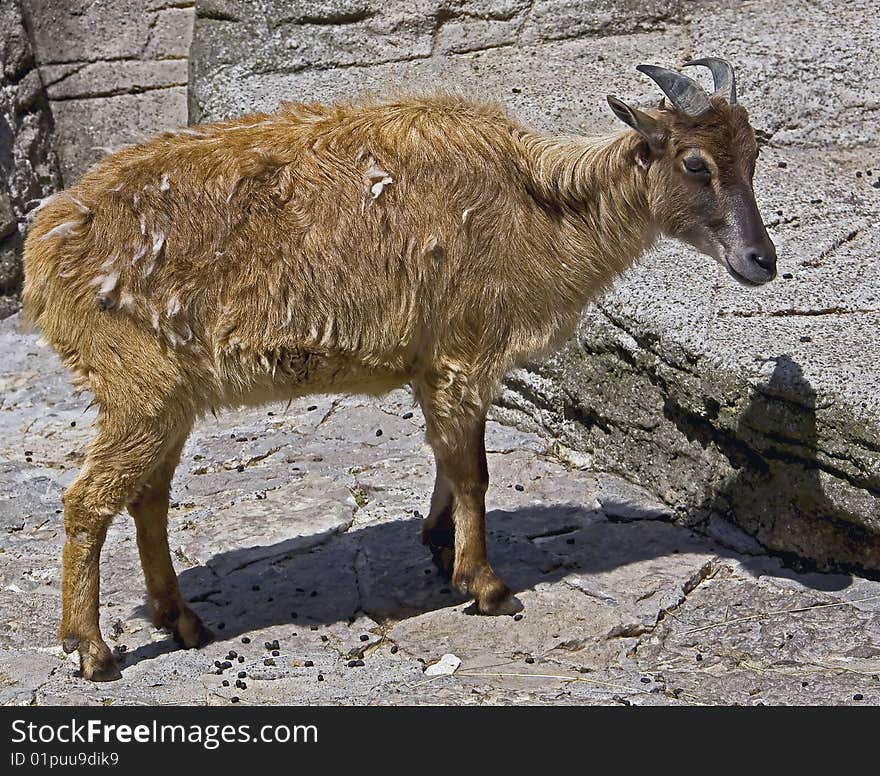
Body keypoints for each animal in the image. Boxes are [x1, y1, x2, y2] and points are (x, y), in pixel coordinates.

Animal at [22, 60, 776, 680]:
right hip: (138, 389)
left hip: (169, 401)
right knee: (86, 501)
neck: (536, 204)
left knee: (146, 498)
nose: (761, 260)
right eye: (695, 163)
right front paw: (487, 585)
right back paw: (93, 651)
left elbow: (448, 457)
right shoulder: (463, 353)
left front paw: (439, 545)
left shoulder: (434, 364)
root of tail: (43, 250)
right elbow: (473, 470)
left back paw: (182, 621)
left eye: (753, 153)